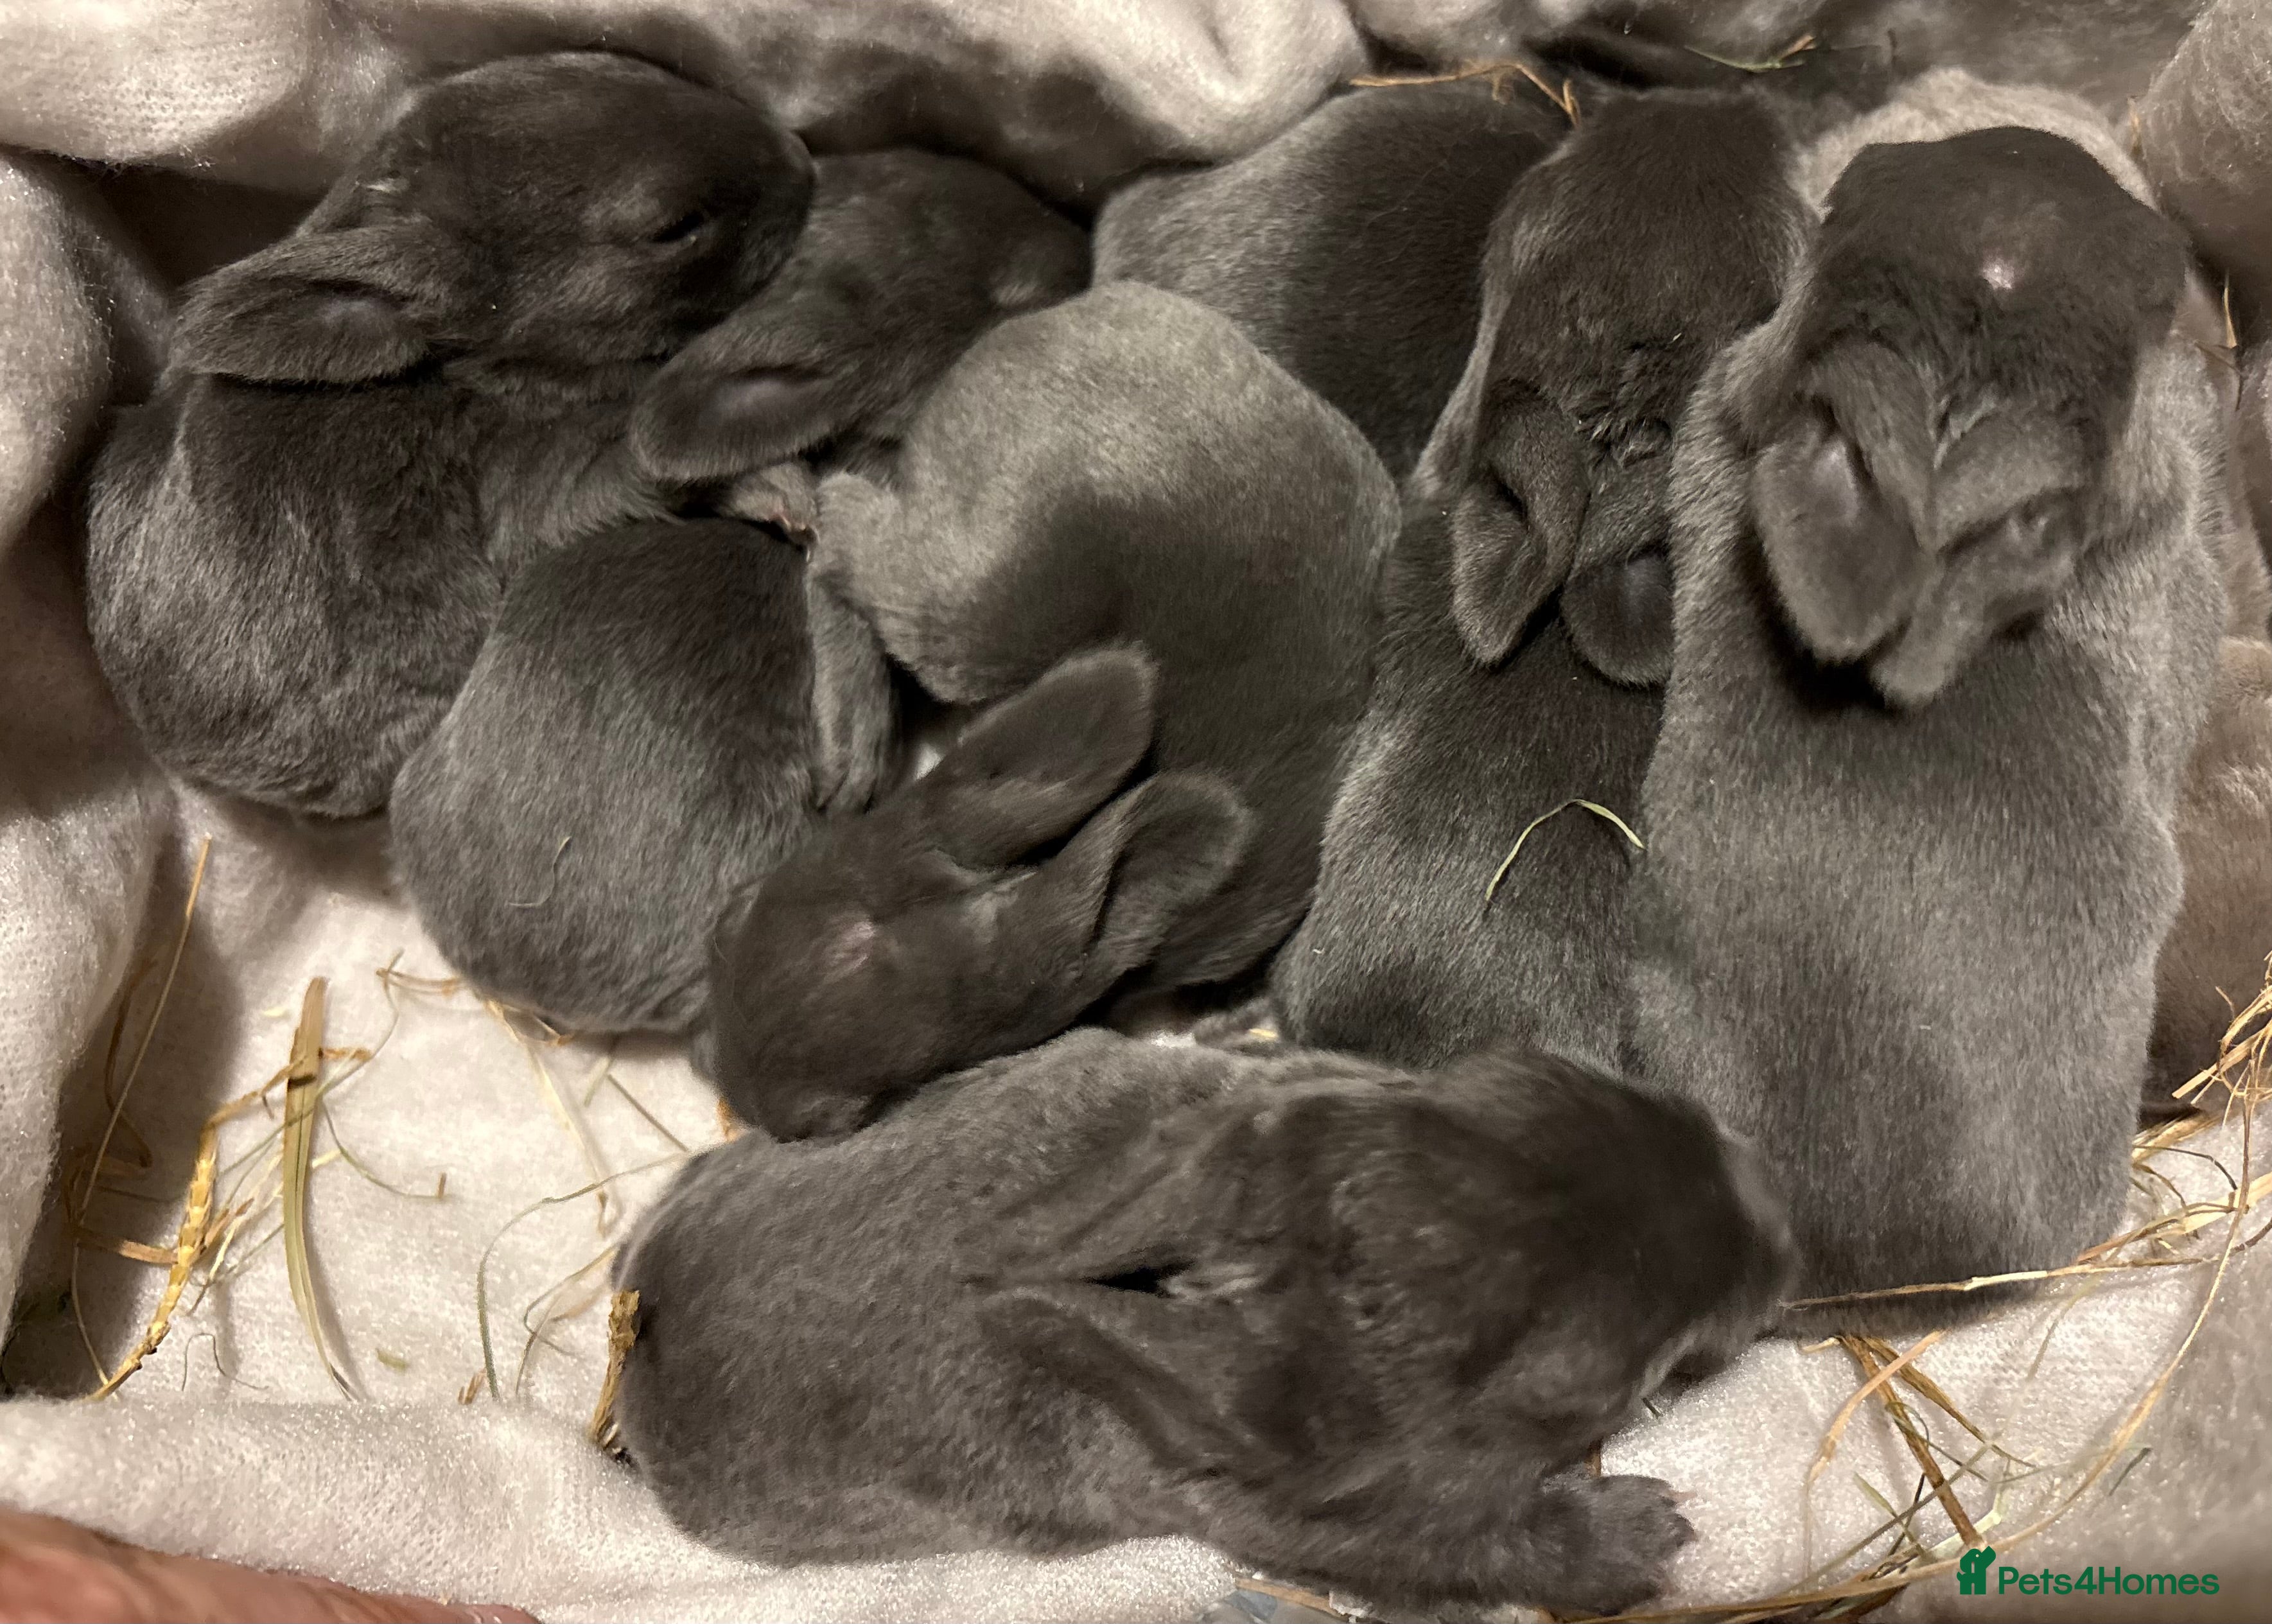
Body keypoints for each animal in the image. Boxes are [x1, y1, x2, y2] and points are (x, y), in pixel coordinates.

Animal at [82, 51, 814, 817]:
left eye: (622, 64)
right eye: (674, 227)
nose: (802, 160)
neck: (459, 366)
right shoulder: (524, 472)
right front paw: (780, 490)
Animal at [614, 1026, 1796, 1615]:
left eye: (1558, 1073)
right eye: (1602, 1383)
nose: (1777, 1231)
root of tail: (636, 1334)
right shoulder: (1309, 1522)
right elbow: (1472, 1546)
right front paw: (1640, 1538)